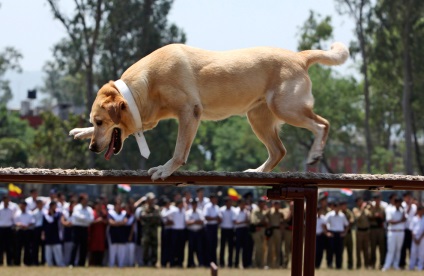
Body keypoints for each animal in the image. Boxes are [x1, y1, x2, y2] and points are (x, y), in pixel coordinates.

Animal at [69, 42, 348, 180]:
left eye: (101, 122)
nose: (92, 148)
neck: (145, 85)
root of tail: (299, 57)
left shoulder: (189, 112)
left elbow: (179, 151)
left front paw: (164, 170)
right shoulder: (152, 119)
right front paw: (80, 131)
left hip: (286, 107)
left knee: (322, 124)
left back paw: (315, 153)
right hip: (258, 117)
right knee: (279, 151)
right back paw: (256, 172)